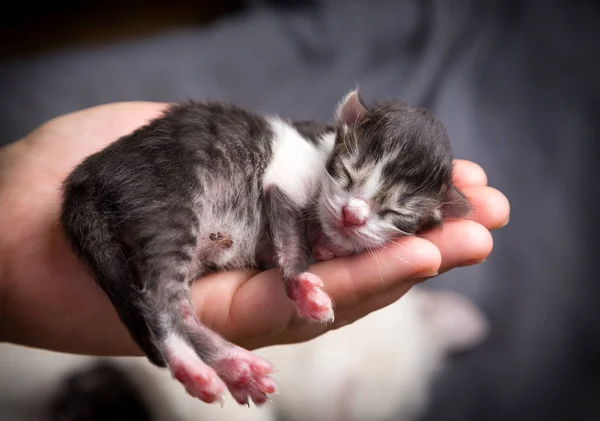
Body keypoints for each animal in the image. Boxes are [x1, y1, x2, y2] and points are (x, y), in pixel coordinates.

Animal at [58, 90, 472, 406]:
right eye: (348, 174)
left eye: (394, 212)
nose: (352, 215)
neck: (323, 149)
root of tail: (84, 181)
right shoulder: (286, 175)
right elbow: (291, 239)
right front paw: (303, 287)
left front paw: (328, 248)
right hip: (166, 203)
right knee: (159, 299)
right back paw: (193, 367)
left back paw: (235, 369)